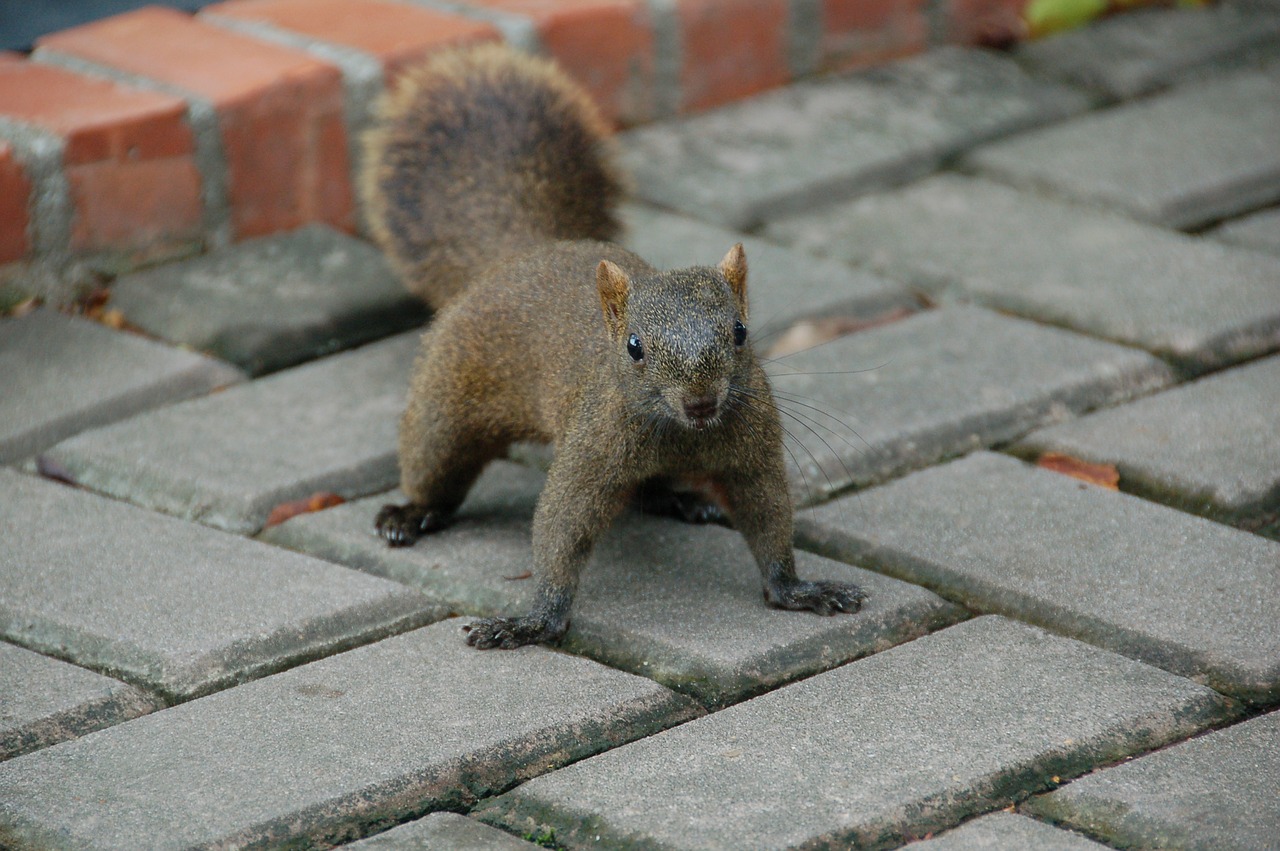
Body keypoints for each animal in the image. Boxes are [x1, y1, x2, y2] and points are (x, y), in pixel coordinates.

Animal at [358, 43, 870, 647]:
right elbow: (562, 525)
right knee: (436, 461)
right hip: (449, 394)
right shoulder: (591, 448)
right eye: (633, 347)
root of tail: (525, 254)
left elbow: (767, 514)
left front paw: (797, 589)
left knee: (651, 490)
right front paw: (535, 620)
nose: (702, 402)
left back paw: (681, 498)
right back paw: (410, 514)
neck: (681, 434)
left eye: (741, 332)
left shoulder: (753, 447)